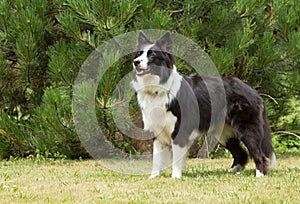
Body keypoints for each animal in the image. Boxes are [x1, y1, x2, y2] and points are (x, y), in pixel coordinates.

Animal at [130, 31, 276, 178]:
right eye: (139, 54)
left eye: (152, 55)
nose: (135, 62)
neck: (157, 89)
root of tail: (252, 90)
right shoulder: (157, 131)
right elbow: (157, 159)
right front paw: (153, 177)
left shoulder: (179, 131)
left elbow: (176, 158)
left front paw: (175, 177)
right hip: (225, 133)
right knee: (242, 153)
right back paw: (233, 170)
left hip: (246, 129)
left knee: (259, 155)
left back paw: (260, 175)